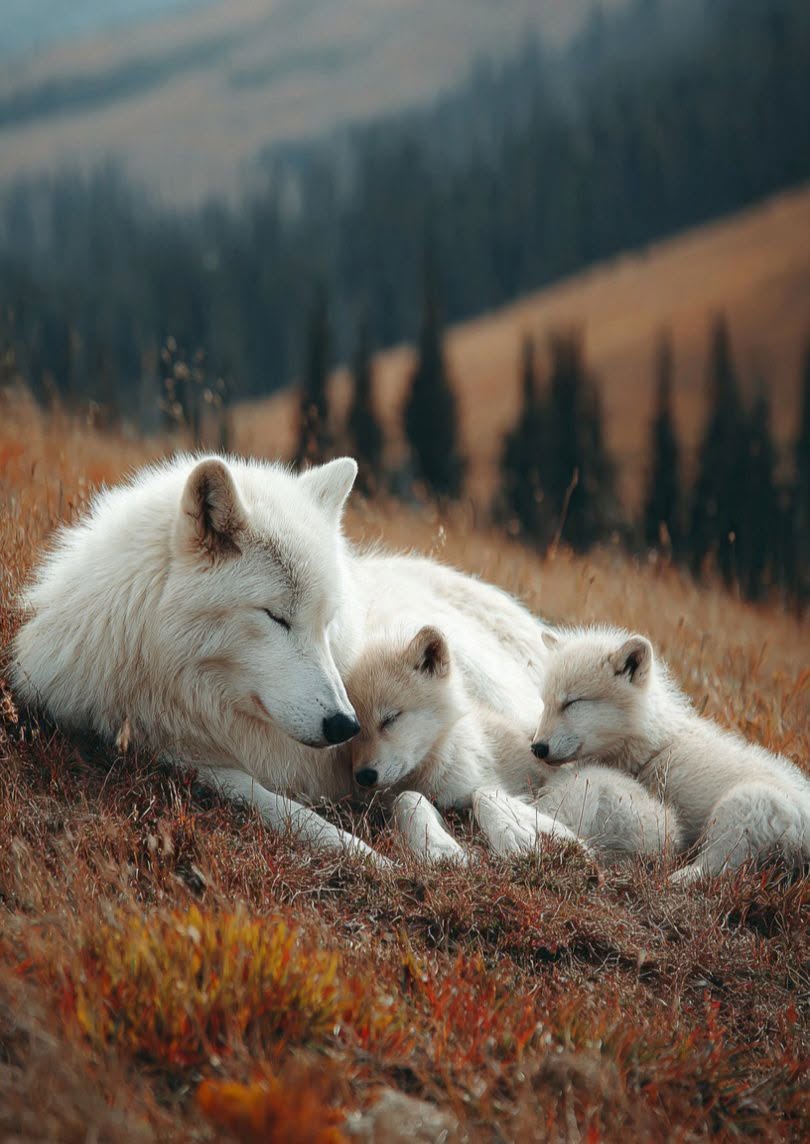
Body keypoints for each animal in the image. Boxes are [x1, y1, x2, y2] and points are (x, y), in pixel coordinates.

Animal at [11, 454, 554, 865]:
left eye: (325, 622)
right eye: (276, 617)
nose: (344, 725)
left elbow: (445, 792)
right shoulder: (170, 752)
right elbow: (280, 807)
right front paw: (368, 854)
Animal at [343, 624, 679, 861]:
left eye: (390, 719)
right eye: (355, 729)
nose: (364, 776)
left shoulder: (487, 784)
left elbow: (484, 795)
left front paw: (513, 838)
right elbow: (407, 800)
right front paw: (437, 847)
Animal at [532, 627, 810, 881]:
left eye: (572, 702)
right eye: (545, 703)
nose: (537, 747)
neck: (652, 749)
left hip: (742, 806)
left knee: (713, 865)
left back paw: (675, 877)